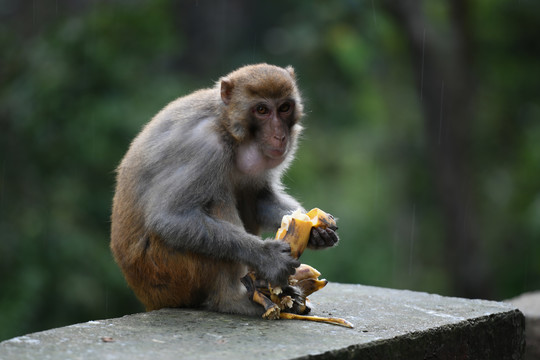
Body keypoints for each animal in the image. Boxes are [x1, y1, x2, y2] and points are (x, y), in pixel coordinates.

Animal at [109, 63, 338, 316]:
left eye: (285, 107)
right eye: (262, 110)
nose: (280, 136)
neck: (227, 128)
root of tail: (149, 299)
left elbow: (261, 198)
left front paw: (317, 232)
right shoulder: (204, 147)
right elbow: (169, 218)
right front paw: (267, 256)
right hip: (167, 272)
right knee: (218, 199)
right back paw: (232, 299)